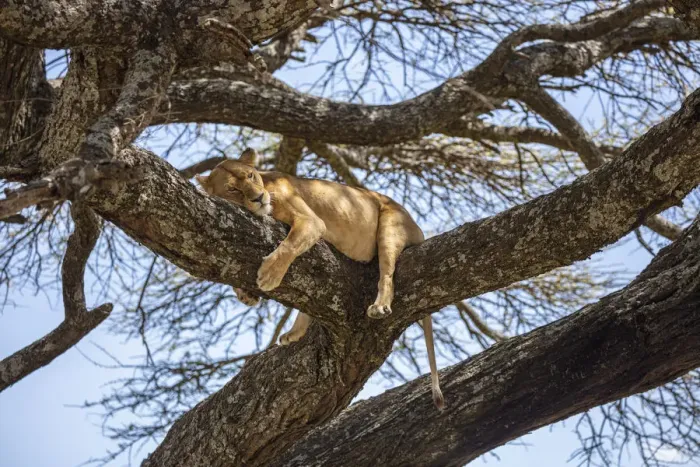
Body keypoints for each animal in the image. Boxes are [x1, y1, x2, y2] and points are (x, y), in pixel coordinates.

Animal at [196, 148, 444, 409]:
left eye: (251, 176)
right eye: (233, 189)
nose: (259, 198)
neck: (268, 186)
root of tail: (418, 229)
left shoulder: (312, 222)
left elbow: (289, 245)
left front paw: (269, 275)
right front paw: (245, 294)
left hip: (389, 226)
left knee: (386, 275)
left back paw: (379, 306)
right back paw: (294, 333)